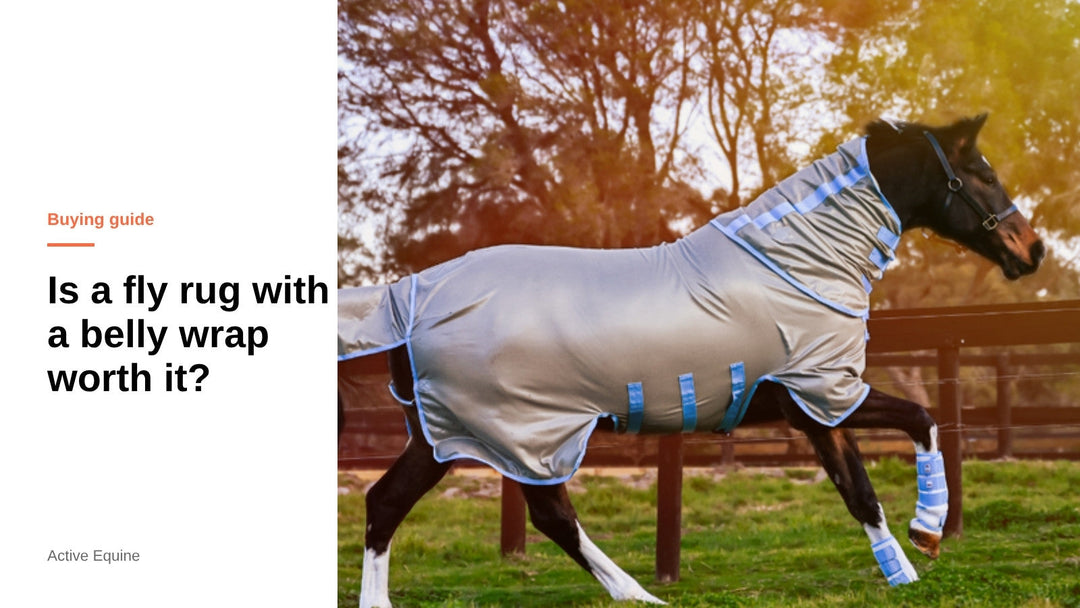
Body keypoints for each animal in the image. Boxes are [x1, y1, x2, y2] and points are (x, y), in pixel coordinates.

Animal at [338, 114, 1044, 606]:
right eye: (981, 174)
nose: (1032, 249)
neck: (791, 266)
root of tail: (408, 295)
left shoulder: (816, 412)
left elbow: (861, 495)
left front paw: (904, 571)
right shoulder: (826, 393)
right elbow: (922, 420)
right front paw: (928, 531)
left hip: (479, 436)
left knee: (403, 504)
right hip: (501, 433)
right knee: (517, 513)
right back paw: (640, 595)